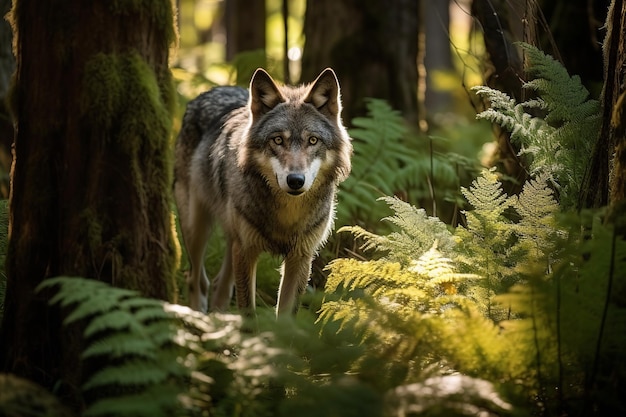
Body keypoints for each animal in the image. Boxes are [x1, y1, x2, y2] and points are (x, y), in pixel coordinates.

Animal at [173, 68, 352, 316]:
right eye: (277, 140)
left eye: (313, 140)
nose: (295, 181)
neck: (287, 215)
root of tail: (212, 90)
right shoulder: (247, 252)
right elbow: (248, 312)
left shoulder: (300, 259)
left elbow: (285, 318)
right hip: (198, 229)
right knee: (196, 280)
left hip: (231, 240)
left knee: (220, 286)